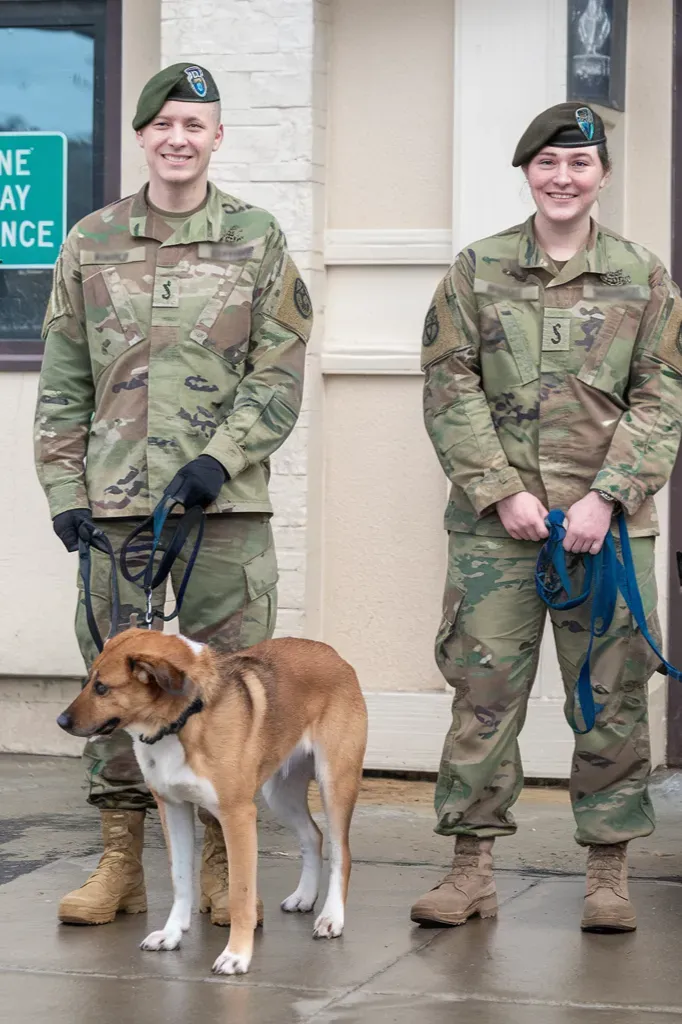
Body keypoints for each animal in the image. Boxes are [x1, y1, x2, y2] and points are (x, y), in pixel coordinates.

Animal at [57, 626, 366, 970]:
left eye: (102, 688)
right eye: (88, 682)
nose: (61, 721)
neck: (185, 718)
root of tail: (333, 654)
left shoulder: (237, 815)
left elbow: (240, 895)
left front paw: (237, 955)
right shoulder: (173, 808)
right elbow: (180, 879)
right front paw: (171, 934)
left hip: (334, 783)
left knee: (341, 853)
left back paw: (332, 917)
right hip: (280, 794)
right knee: (313, 836)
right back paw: (305, 897)